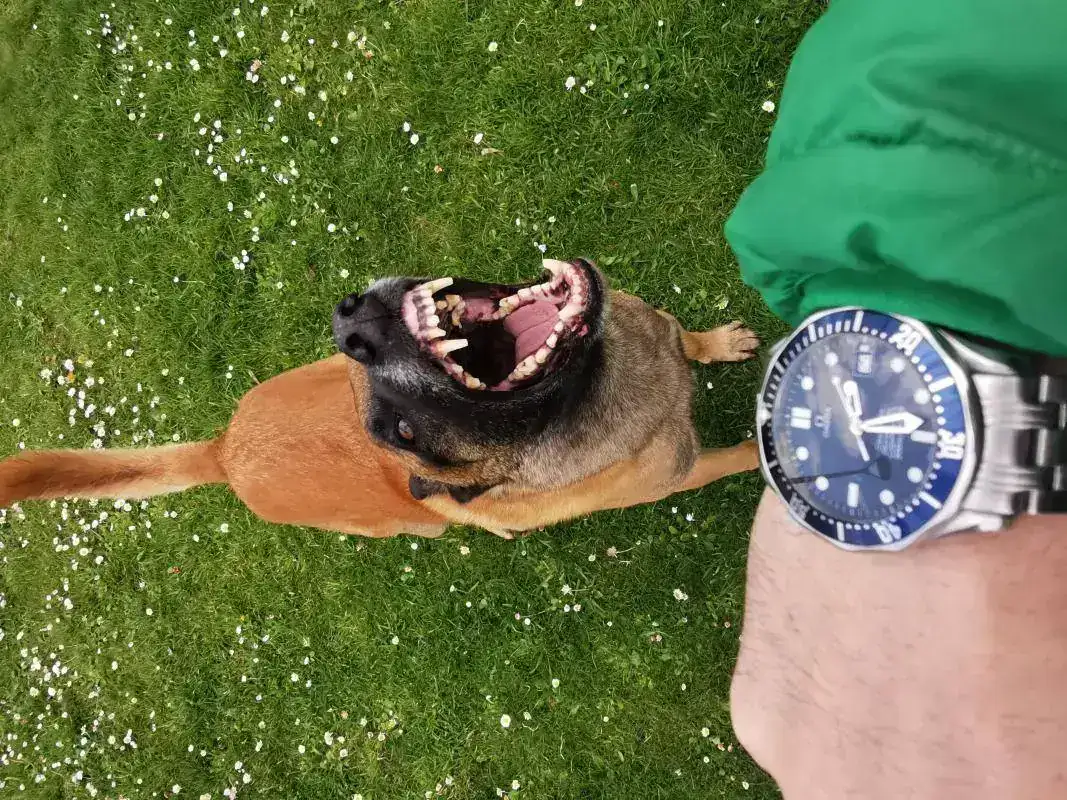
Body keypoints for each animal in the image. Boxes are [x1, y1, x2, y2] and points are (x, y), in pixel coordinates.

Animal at [0, 258, 759, 539]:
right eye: (401, 432)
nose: (352, 327)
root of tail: (224, 451)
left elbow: (686, 337)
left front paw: (717, 343)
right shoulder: (683, 474)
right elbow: (742, 455)